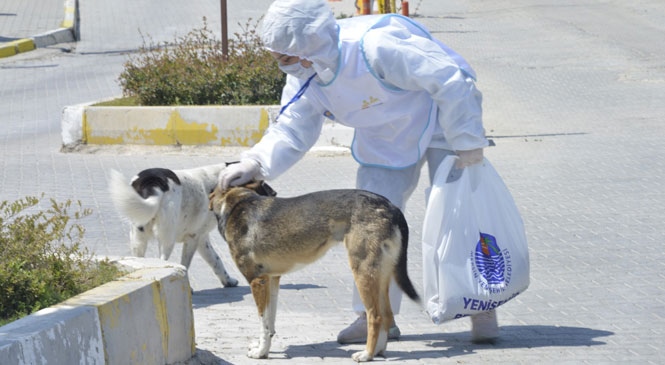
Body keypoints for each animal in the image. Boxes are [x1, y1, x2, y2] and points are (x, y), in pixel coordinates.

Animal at [208, 181, 418, 360]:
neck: (234, 205)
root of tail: (390, 206)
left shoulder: (256, 280)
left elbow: (263, 323)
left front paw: (261, 352)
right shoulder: (272, 279)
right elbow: (270, 321)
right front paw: (263, 346)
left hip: (362, 272)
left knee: (375, 316)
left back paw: (366, 354)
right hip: (381, 275)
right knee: (387, 314)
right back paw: (378, 351)